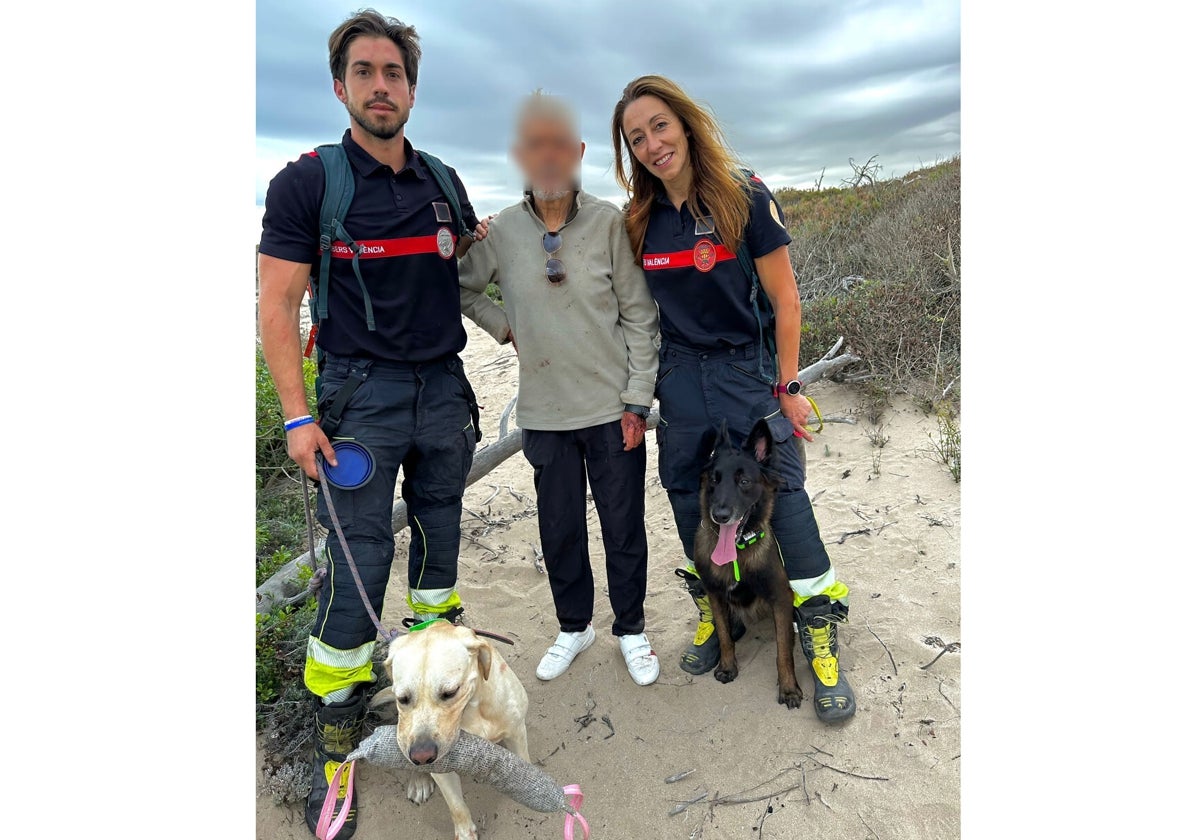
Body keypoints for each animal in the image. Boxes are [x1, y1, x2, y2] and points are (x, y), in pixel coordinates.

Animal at [381, 619, 532, 835]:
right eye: (402, 698)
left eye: (450, 692)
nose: (422, 755)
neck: (472, 709)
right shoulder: (440, 769)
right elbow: (456, 807)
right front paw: (465, 832)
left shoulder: (516, 733)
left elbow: (525, 765)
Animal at [696, 420, 806, 710]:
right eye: (714, 480)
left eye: (744, 482)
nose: (720, 515)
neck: (738, 553)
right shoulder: (714, 593)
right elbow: (724, 635)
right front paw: (728, 666)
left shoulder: (780, 598)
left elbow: (783, 651)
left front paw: (788, 688)